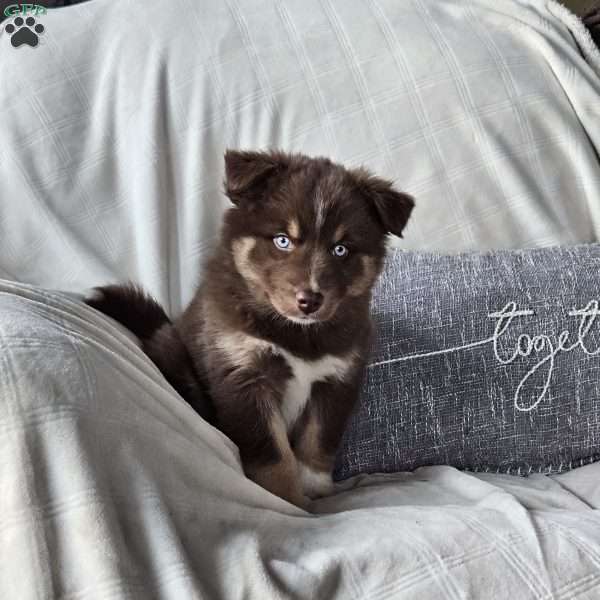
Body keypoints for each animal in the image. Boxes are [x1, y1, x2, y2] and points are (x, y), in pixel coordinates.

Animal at [85, 150, 412, 506]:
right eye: (283, 240)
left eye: (341, 249)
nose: (310, 301)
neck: (298, 334)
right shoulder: (244, 376)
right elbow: (274, 455)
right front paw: (289, 503)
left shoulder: (336, 380)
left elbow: (317, 441)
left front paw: (315, 491)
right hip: (174, 352)